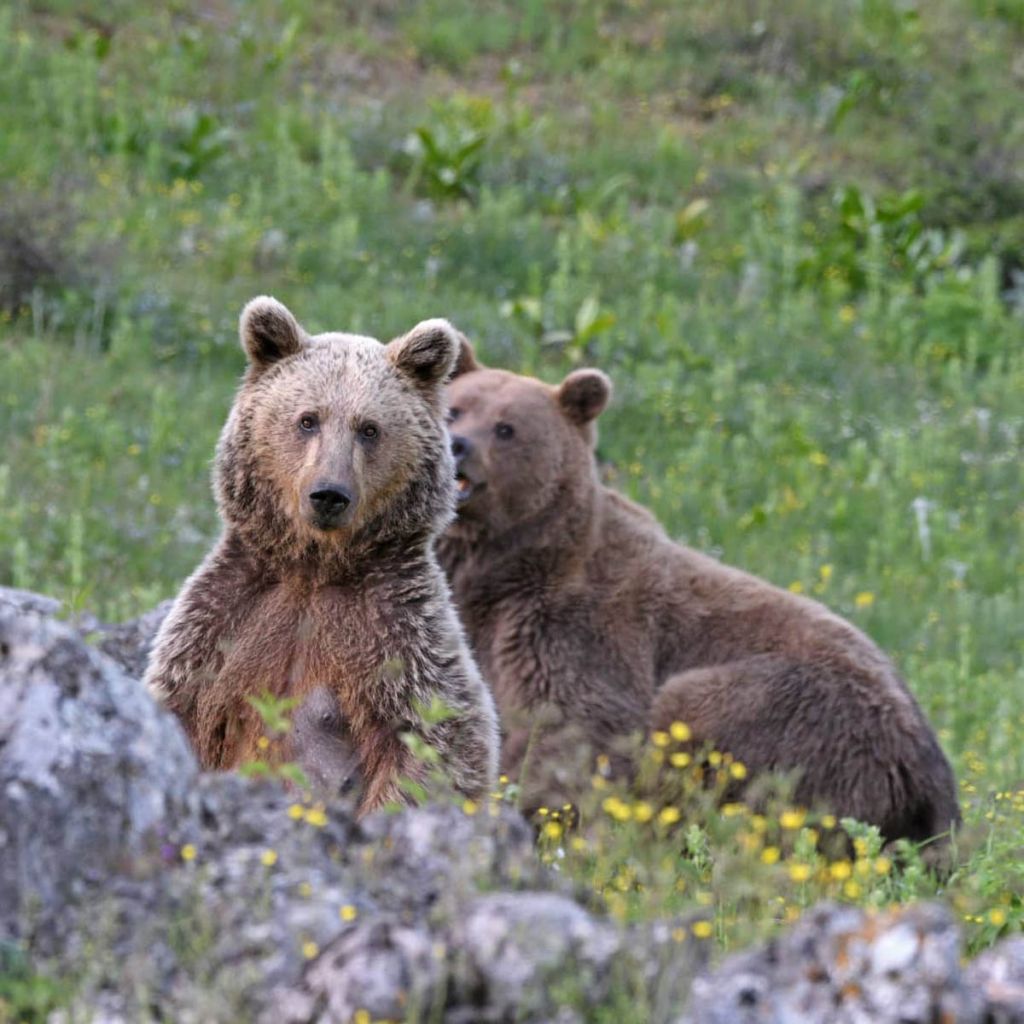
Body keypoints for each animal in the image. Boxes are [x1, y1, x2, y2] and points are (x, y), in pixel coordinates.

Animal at [145, 296, 499, 815]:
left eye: (369, 429)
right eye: (307, 419)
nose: (329, 494)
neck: (314, 566)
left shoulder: (398, 633)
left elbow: (436, 741)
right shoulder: (222, 623)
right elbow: (182, 709)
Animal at [440, 342, 958, 847]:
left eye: (506, 427)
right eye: (457, 408)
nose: (459, 443)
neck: (509, 566)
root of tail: (927, 784)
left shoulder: (576, 626)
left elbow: (568, 725)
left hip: (799, 714)